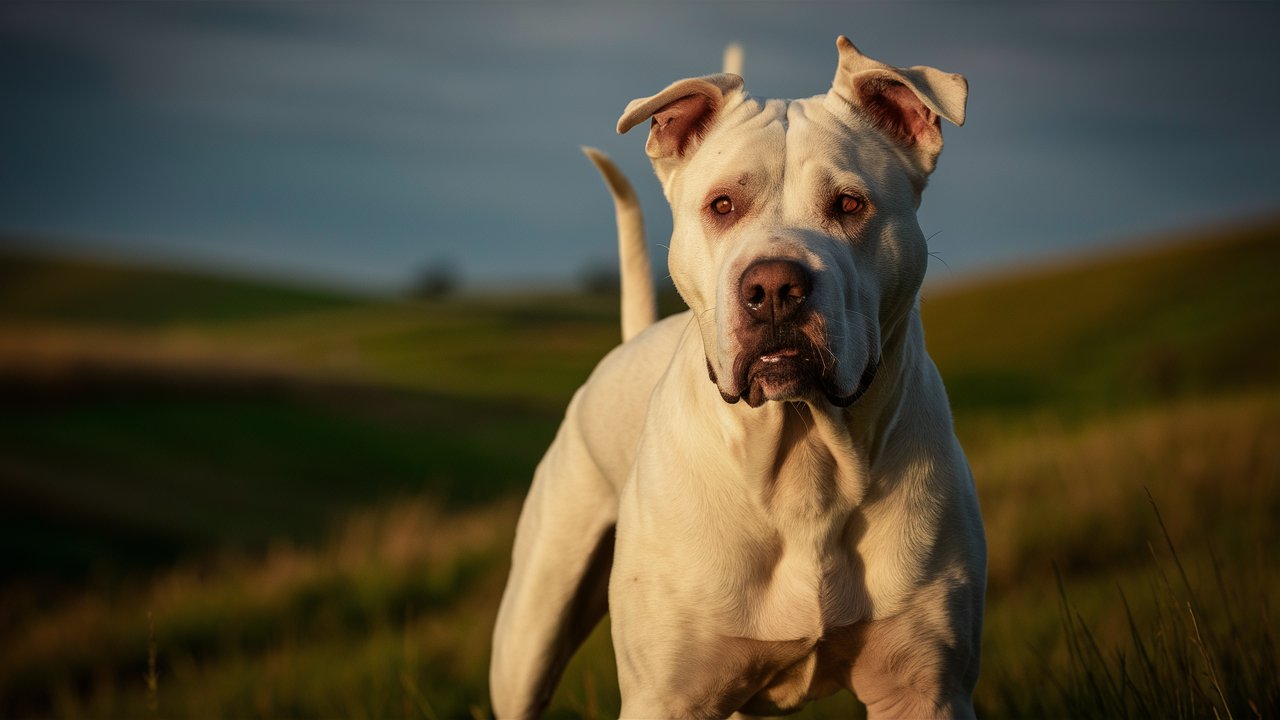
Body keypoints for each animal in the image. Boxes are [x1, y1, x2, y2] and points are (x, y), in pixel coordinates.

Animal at [494, 37, 983, 717]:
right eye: (722, 205)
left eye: (849, 204)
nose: (774, 288)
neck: (803, 457)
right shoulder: (664, 696)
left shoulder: (926, 690)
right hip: (529, 635)